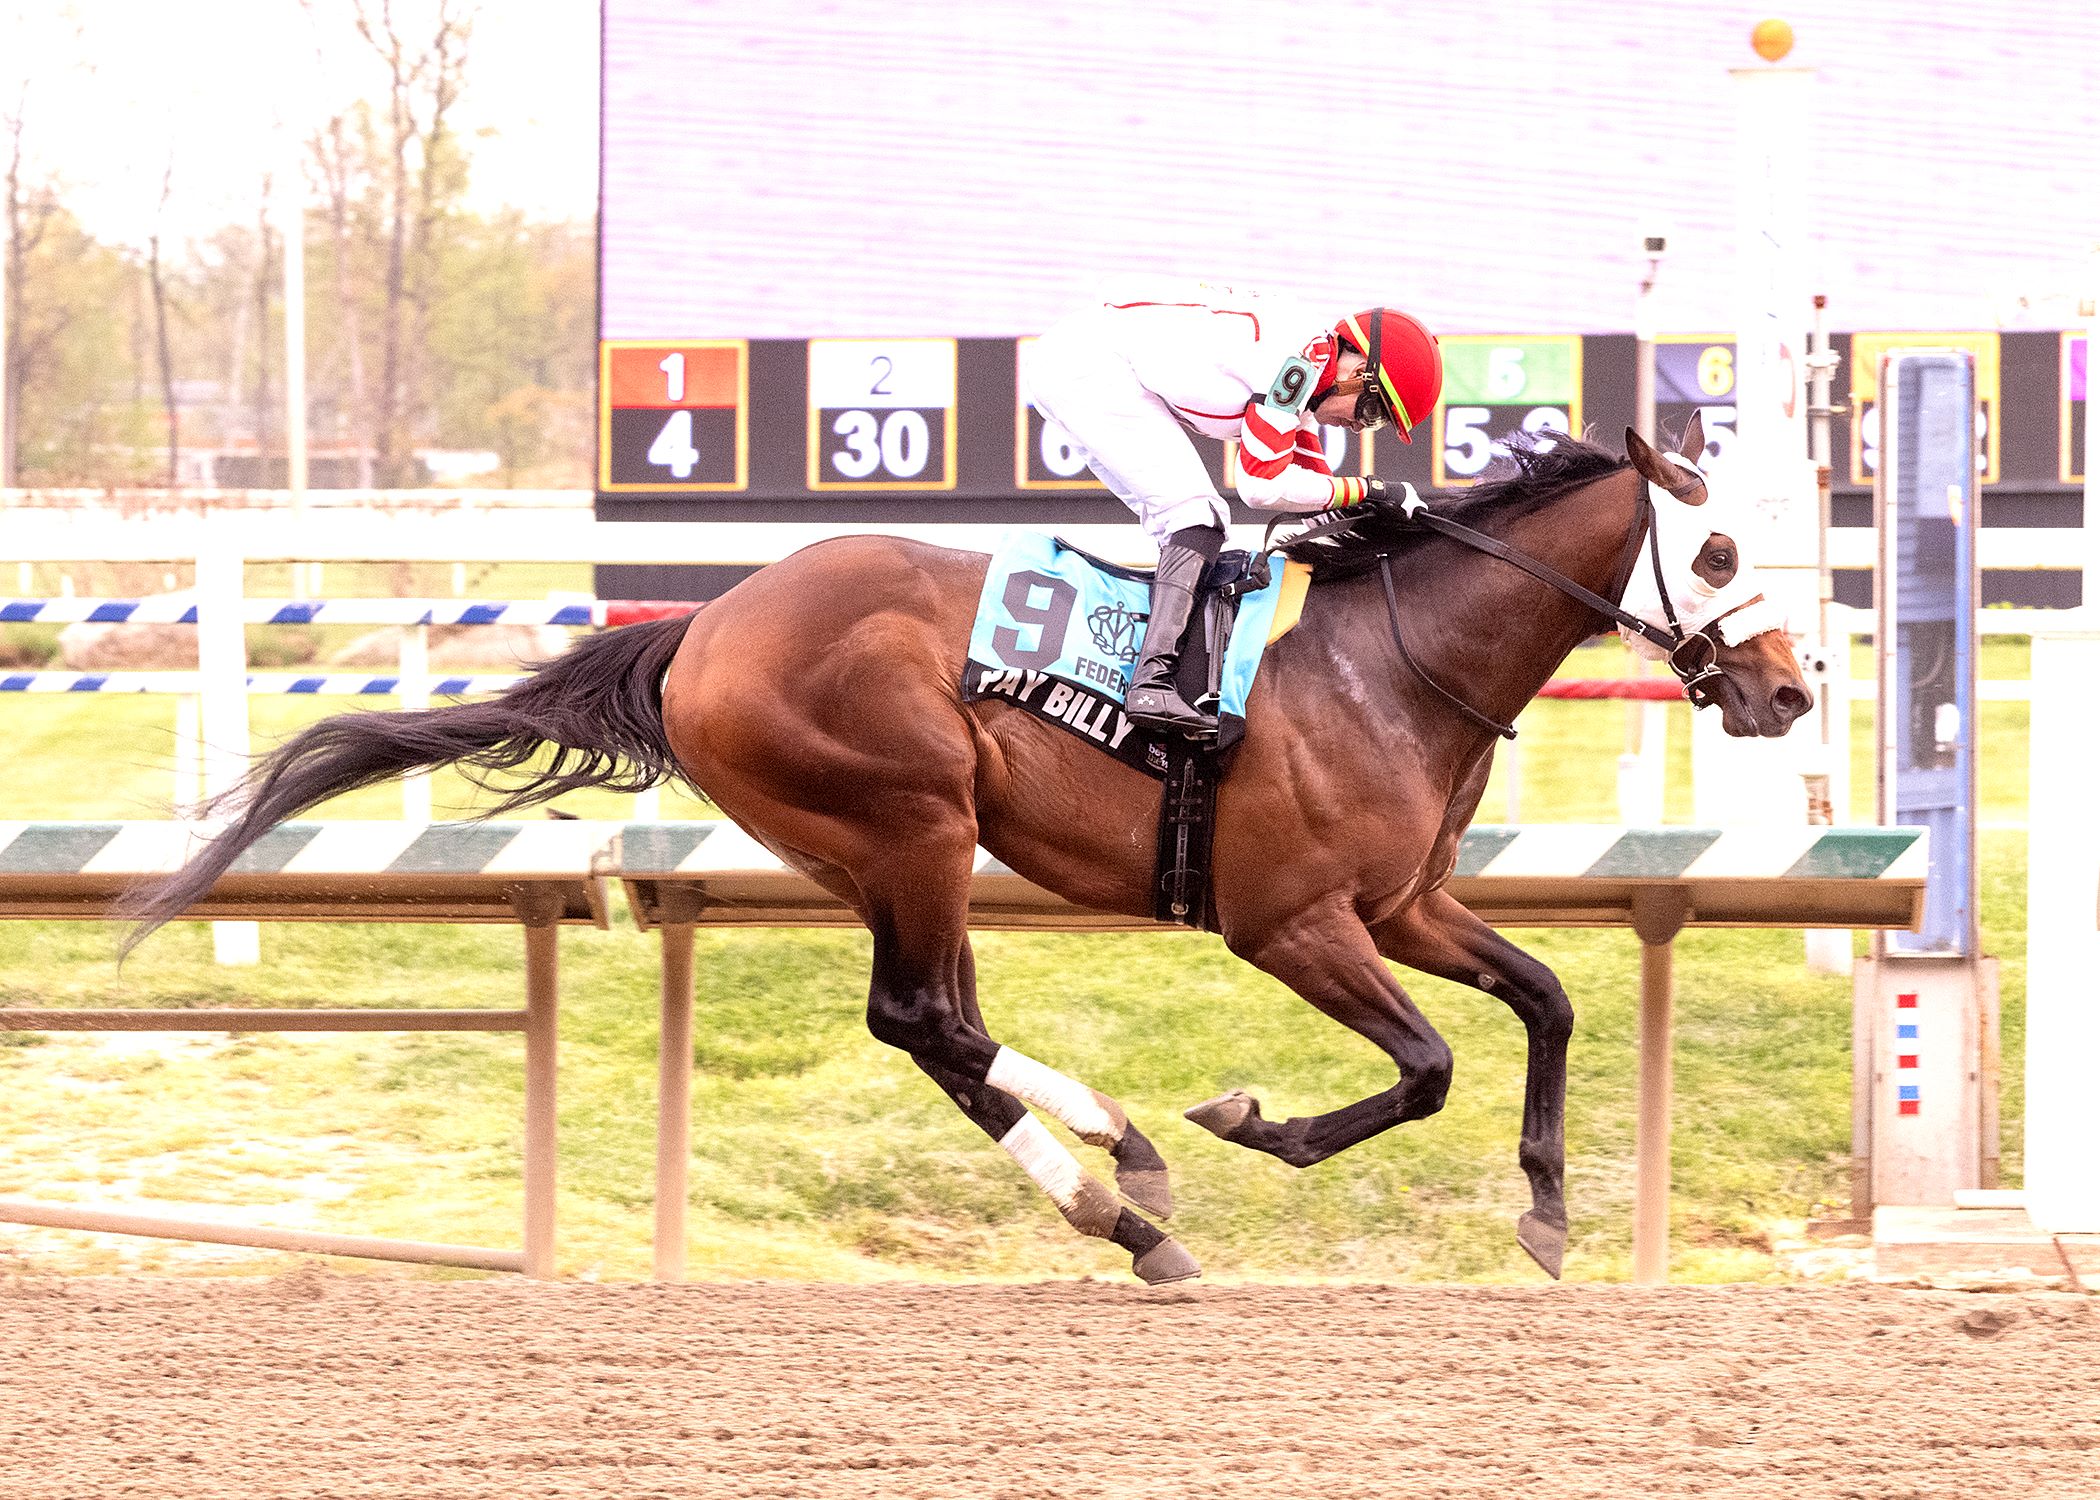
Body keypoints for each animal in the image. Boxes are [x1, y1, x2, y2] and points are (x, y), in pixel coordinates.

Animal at [123, 418, 1811, 1285]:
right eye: (1719, 548)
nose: (1790, 691)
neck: (1383, 666)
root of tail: (701, 629)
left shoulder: (1402, 904)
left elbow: (1546, 1003)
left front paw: (1548, 1208)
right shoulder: (1289, 923)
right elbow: (1427, 1067)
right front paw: (1249, 1121)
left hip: (885, 849)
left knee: (942, 1029)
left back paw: (1122, 1192)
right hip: (913, 816)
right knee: (922, 1015)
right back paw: (1126, 1188)